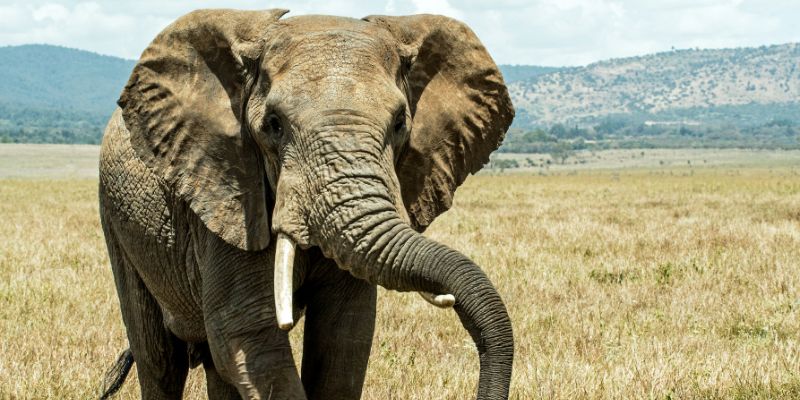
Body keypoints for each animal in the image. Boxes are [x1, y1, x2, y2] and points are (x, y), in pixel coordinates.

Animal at [98, 8, 514, 400]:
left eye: (400, 123)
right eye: (274, 124)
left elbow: (344, 338)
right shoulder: (230, 196)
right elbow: (247, 333)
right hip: (118, 223)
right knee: (159, 360)